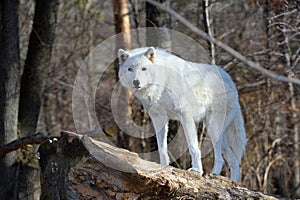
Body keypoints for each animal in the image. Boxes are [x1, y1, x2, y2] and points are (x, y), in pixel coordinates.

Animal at [117, 47, 246, 183]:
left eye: (144, 69)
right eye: (130, 69)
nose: (136, 82)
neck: (162, 81)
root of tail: (229, 79)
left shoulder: (185, 114)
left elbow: (194, 147)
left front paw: (197, 171)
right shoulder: (158, 117)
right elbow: (162, 147)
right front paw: (163, 167)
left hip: (213, 128)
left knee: (220, 157)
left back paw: (213, 175)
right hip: (220, 134)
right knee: (234, 161)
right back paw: (233, 183)